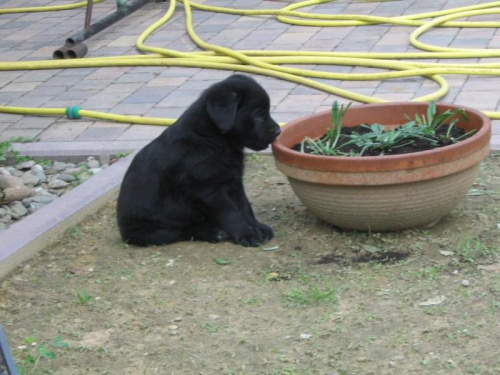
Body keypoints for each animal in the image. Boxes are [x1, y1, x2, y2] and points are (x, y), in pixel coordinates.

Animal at [117, 75, 282, 248]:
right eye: (258, 114)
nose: (278, 131)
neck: (212, 139)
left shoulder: (234, 181)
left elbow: (244, 206)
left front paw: (258, 227)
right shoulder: (209, 190)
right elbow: (231, 212)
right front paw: (247, 234)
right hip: (153, 232)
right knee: (183, 231)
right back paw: (211, 232)